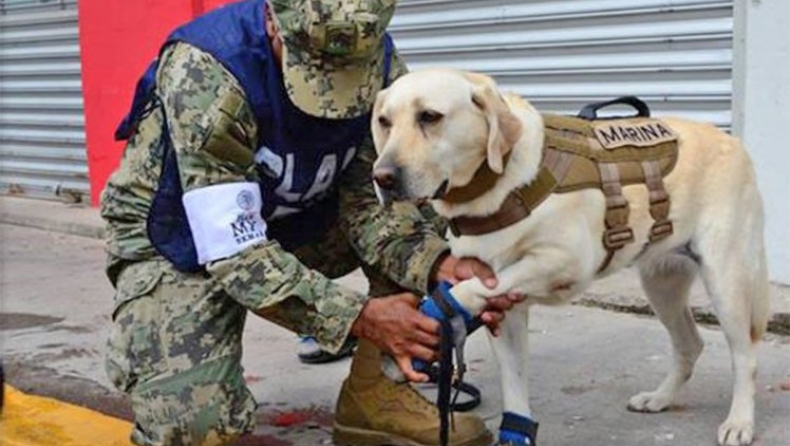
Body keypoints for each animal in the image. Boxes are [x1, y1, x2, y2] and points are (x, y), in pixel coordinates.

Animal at [372, 69, 772, 446]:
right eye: (384, 122)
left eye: (430, 116)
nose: (382, 177)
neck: (493, 187)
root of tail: (732, 140)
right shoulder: (507, 313)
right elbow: (514, 392)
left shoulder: (565, 262)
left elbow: (470, 288)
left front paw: (435, 312)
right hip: (662, 284)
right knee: (691, 343)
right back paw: (659, 398)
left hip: (726, 280)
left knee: (746, 356)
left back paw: (739, 422)